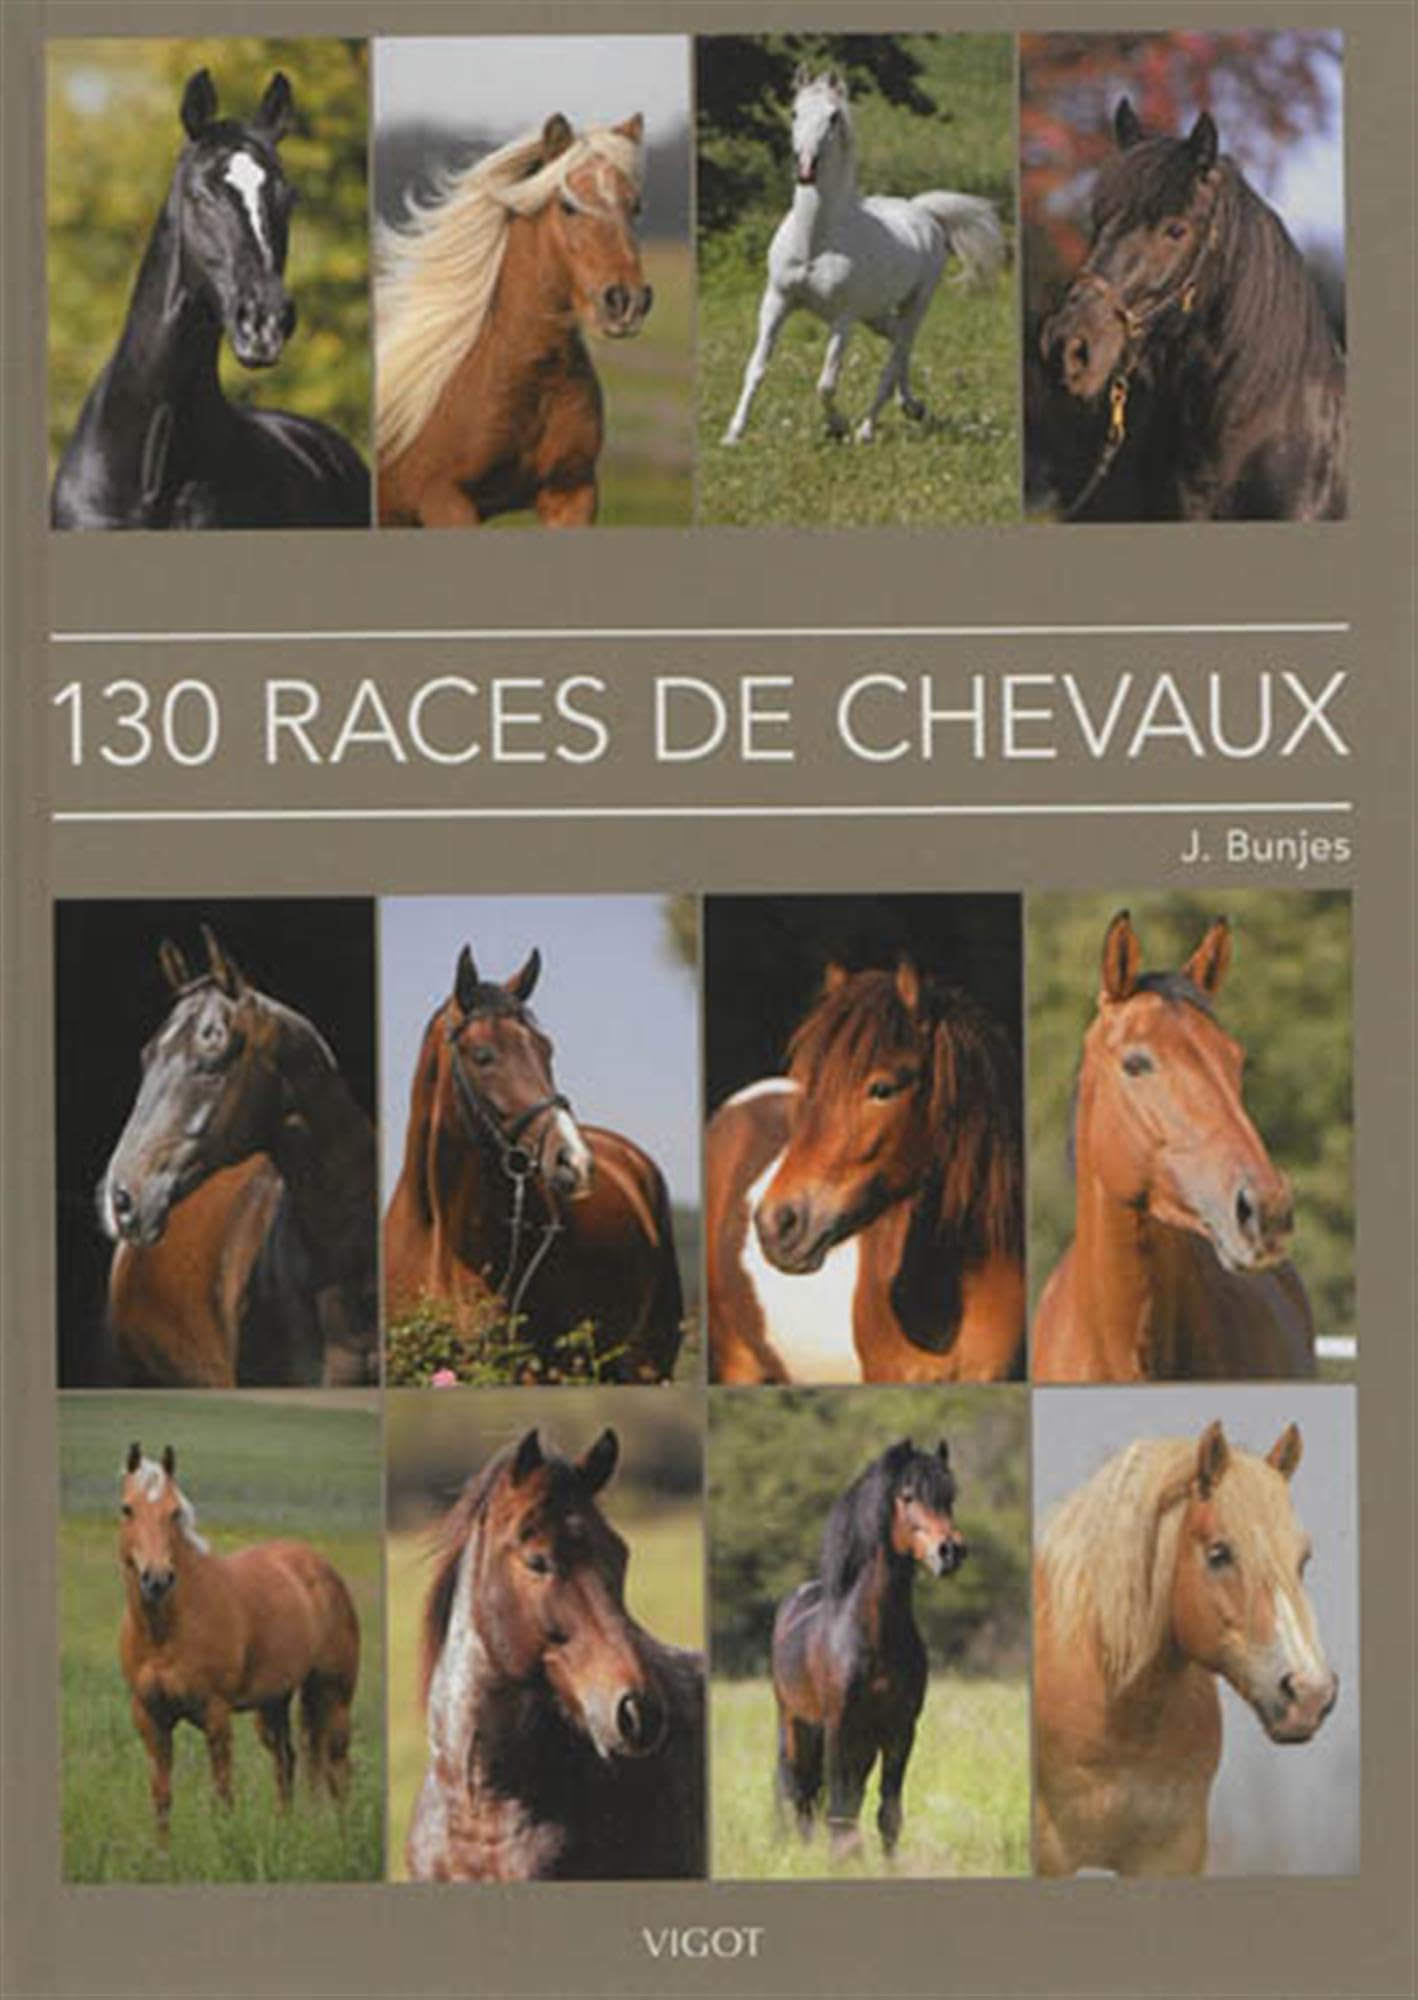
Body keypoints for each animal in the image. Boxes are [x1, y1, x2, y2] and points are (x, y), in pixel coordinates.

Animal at [117, 1443, 360, 1841]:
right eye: (127, 1509)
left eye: (174, 1512)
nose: (157, 1579)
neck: (165, 1633)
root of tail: (318, 1564)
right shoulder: (150, 1718)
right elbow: (162, 1796)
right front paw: (162, 1852)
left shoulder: (216, 1716)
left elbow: (223, 1795)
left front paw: (226, 1846)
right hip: (273, 1705)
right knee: (287, 1762)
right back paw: (286, 1831)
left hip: (333, 1695)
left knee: (337, 1769)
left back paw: (342, 1837)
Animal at [721, 67, 1003, 446]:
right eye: (794, 112)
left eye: (833, 116)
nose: (806, 168)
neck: (815, 243)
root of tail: (922, 213)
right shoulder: (776, 302)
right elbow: (755, 369)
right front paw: (733, 434)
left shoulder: (844, 318)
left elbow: (826, 384)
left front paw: (837, 426)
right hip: (876, 314)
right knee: (898, 344)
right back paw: (912, 407)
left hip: (915, 303)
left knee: (896, 353)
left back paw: (868, 429)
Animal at [772, 1438, 965, 1861]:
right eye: (908, 1496)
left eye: (950, 1498)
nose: (950, 1552)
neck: (874, 1638)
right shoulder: (838, 1725)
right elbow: (839, 1810)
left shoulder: (900, 1729)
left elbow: (886, 1815)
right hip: (796, 1724)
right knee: (798, 1791)